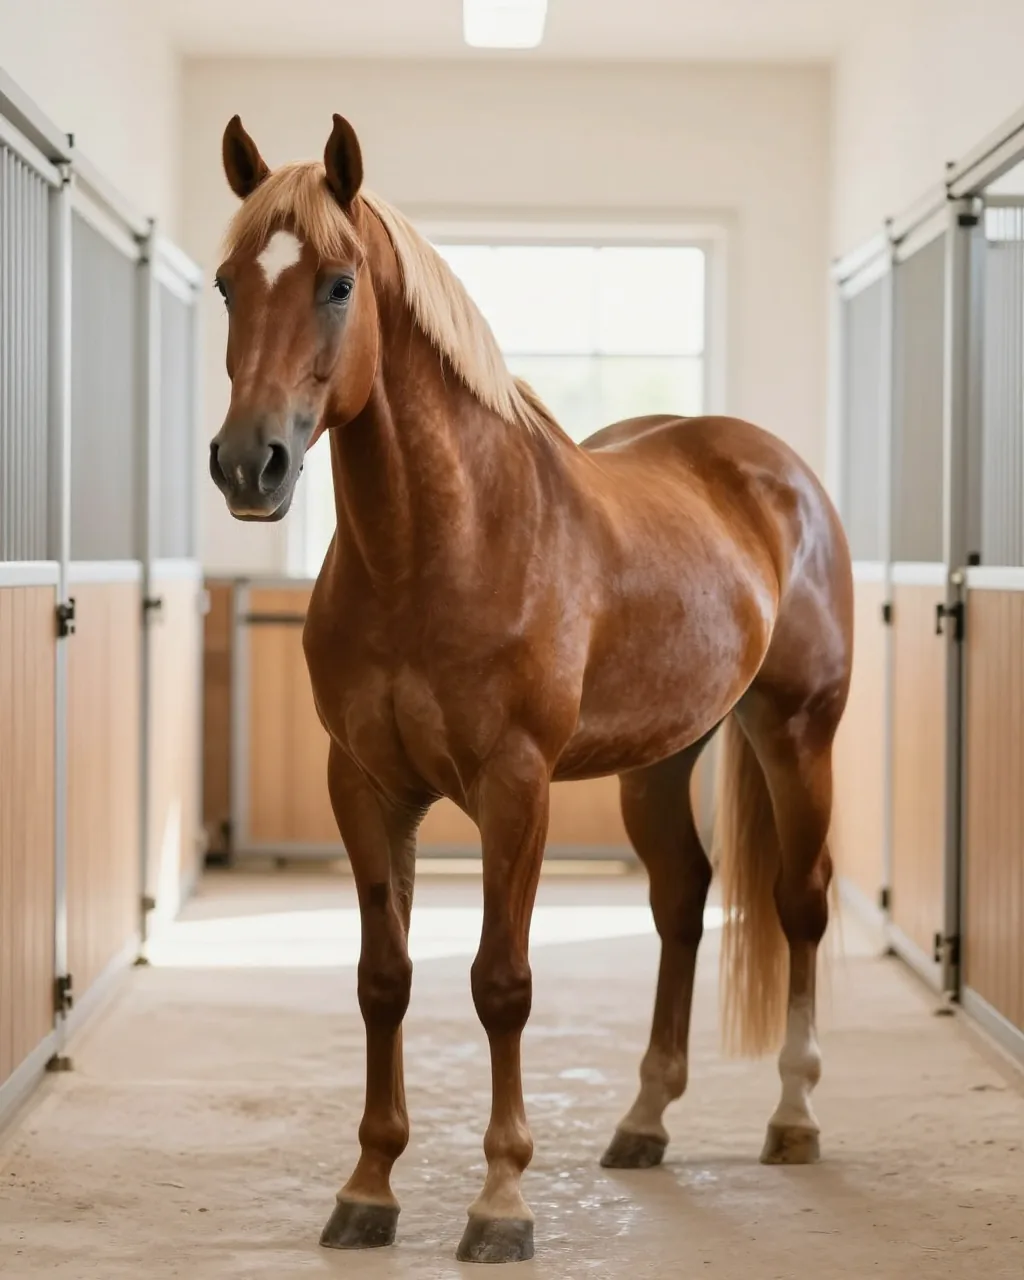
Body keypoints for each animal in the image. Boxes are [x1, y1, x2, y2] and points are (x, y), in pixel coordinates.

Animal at [208, 112, 853, 1266]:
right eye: (230, 282)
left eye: (337, 283)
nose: (251, 466)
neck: (439, 545)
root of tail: (777, 472)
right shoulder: (364, 786)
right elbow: (384, 978)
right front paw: (368, 1187)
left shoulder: (516, 788)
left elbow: (500, 983)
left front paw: (501, 1201)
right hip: (660, 762)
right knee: (682, 900)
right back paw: (644, 1120)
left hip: (796, 731)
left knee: (799, 903)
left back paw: (792, 1117)